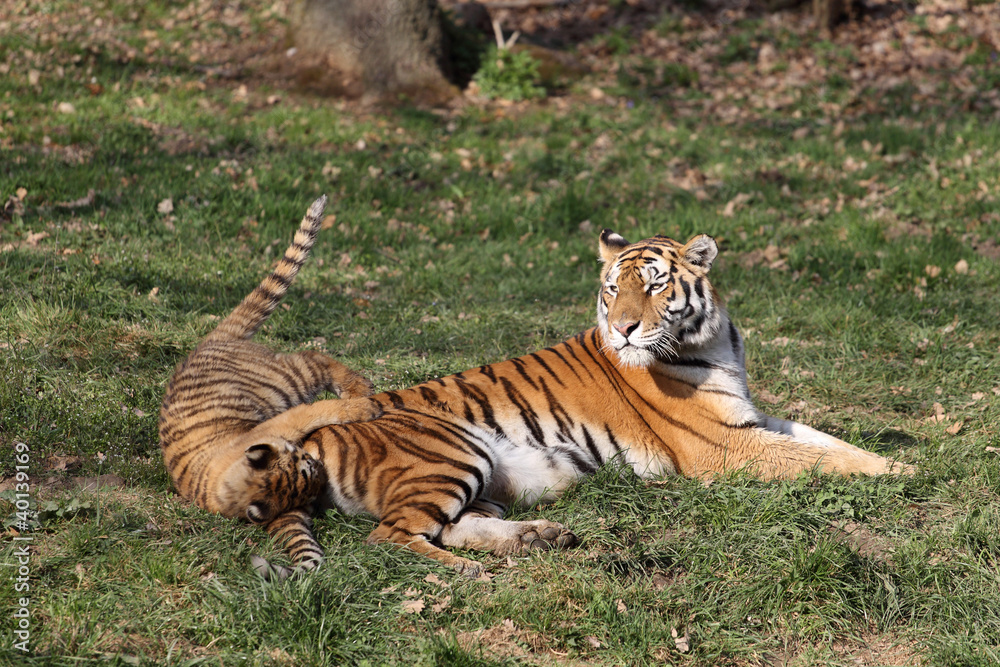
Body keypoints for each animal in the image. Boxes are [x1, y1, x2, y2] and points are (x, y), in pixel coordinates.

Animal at [159, 195, 381, 578]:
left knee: (315, 356)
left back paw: (361, 388)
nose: (323, 476)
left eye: (306, 462)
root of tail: (209, 341)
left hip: (286, 380)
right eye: (307, 481)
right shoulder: (283, 508)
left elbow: (322, 409)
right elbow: (299, 539)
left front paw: (365, 407)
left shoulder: (286, 421)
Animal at [258, 200, 915, 578]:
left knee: (453, 523)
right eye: (613, 289)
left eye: (654, 286)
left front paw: (899, 463)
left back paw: (538, 538)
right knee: (391, 536)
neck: (715, 342)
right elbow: (815, 458)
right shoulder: (726, 447)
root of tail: (313, 441)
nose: (623, 328)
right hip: (453, 450)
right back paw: (471, 573)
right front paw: (905, 474)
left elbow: (826, 442)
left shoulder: (751, 421)